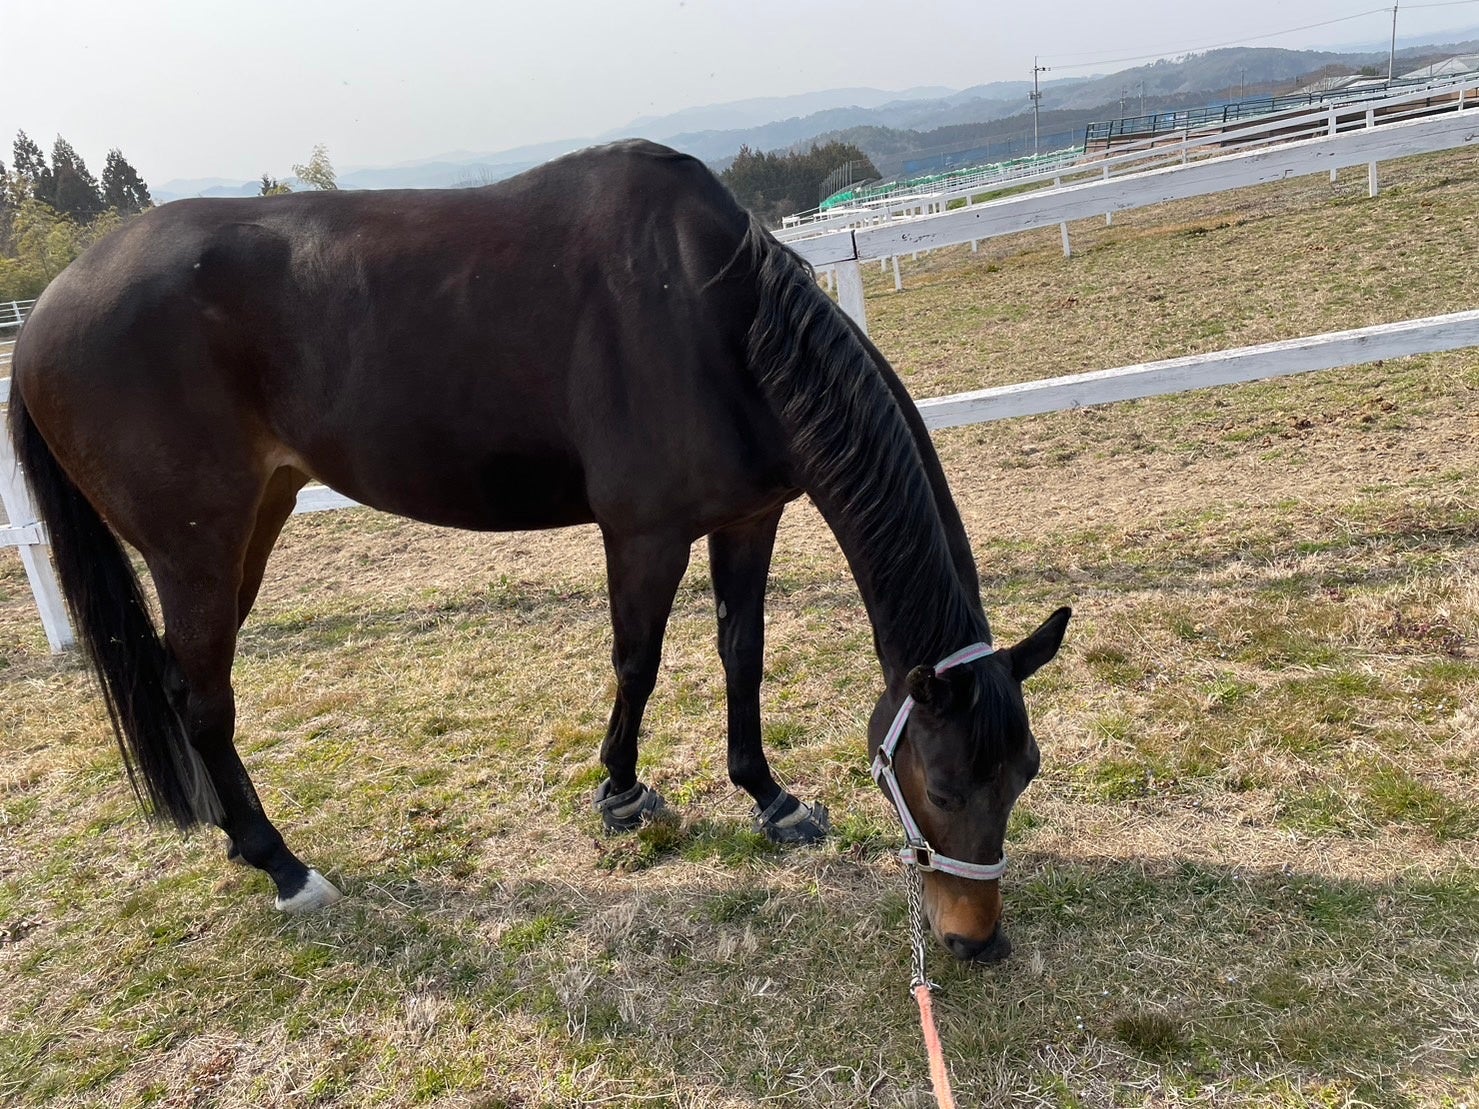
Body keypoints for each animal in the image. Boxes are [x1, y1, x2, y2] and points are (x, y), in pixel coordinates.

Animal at [8, 139, 1069, 962]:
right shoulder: (643, 534)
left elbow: (742, 654)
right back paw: (282, 864)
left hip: (254, 524)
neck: (708, 312)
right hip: (195, 550)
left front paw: (769, 798)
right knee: (205, 702)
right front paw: (623, 793)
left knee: (186, 692)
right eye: (939, 783)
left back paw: (237, 842)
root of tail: (48, 310)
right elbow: (637, 661)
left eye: (1022, 773)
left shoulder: (748, 518)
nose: (977, 940)